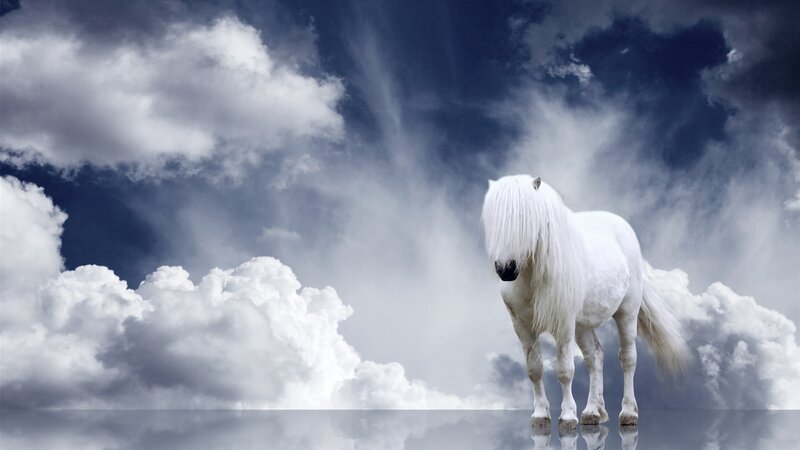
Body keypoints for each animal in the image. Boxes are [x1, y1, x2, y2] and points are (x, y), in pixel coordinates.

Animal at [481, 174, 689, 430]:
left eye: (525, 218)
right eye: (493, 220)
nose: (506, 269)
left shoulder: (564, 324)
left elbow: (564, 370)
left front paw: (567, 417)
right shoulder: (522, 326)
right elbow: (534, 369)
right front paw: (540, 415)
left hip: (626, 312)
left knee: (628, 358)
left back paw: (628, 413)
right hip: (582, 326)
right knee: (595, 357)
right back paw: (593, 412)